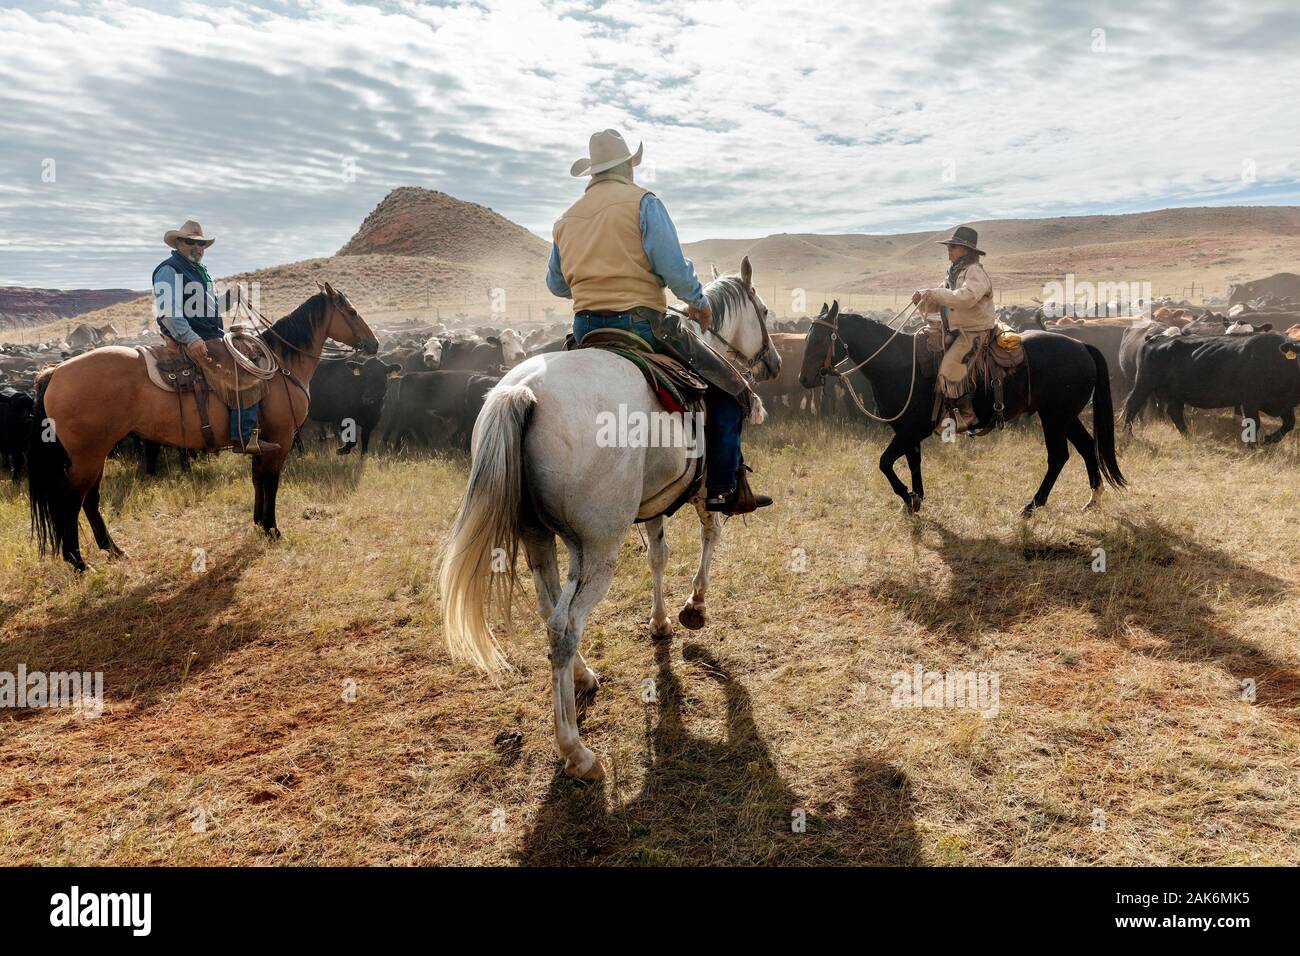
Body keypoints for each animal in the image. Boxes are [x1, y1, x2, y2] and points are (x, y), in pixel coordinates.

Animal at [26, 280, 377, 572]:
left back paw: (113, 549)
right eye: (351, 311)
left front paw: (258, 523)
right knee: (70, 500)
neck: (282, 366)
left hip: (96, 454)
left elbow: (257, 480)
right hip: (87, 456)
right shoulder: (281, 439)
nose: (373, 344)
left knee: (90, 500)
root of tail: (56, 372)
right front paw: (273, 529)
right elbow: (271, 482)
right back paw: (78, 562)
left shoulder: (261, 441)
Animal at [436, 257, 780, 780]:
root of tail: (522, 393)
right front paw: (695, 607)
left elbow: (658, 555)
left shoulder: (654, 501)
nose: (775, 363)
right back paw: (576, 751)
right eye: (761, 309)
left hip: (540, 538)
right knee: (564, 625)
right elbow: (711, 534)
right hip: (598, 548)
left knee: (550, 610)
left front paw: (660, 622)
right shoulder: (705, 491)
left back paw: (582, 676)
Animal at [795, 304, 1123, 515]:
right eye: (806, 337)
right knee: (1085, 446)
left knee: (1059, 456)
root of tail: (1082, 346)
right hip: (1065, 416)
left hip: (1055, 417)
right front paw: (917, 498)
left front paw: (908, 498)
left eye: (821, 338)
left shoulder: (912, 430)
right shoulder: (906, 431)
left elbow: (885, 462)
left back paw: (1032, 505)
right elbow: (913, 462)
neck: (898, 362)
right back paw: (1093, 499)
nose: (804, 379)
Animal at [1123, 332, 1300, 444]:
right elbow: (1254, 423)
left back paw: (1188, 436)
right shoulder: (1250, 401)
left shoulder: (1285, 403)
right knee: (1132, 406)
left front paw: (1270, 439)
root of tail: (1155, 337)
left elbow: (1289, 424)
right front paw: (1253, 445)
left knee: (1175, 413)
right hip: (1144, 383)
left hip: (1175, 393)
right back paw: (1128, 436)